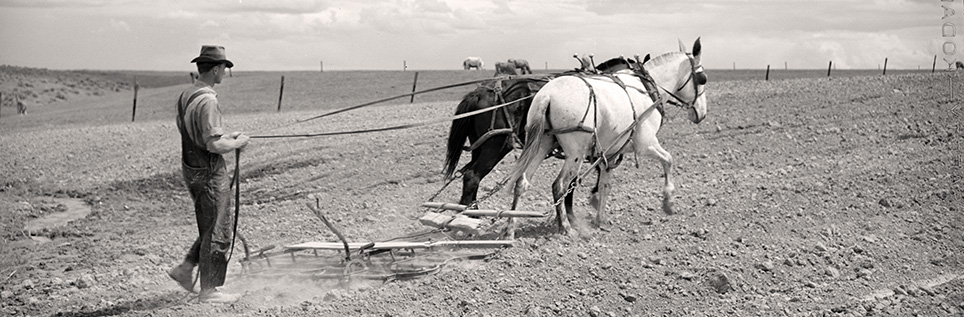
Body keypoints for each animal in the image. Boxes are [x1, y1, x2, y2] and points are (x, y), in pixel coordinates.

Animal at [504, 37, 708, 237]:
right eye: (702, 79)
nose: (702, 113)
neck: (648, 87)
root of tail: (547, 95)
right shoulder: (646, 144)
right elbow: (668, 160)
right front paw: (668, 202)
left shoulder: (609, 154)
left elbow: (605, 184)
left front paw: (600, 217)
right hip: (575, 153)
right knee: (559, 185)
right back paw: (566, 228)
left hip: (542, 144)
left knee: (522, 182)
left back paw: (510, 229)